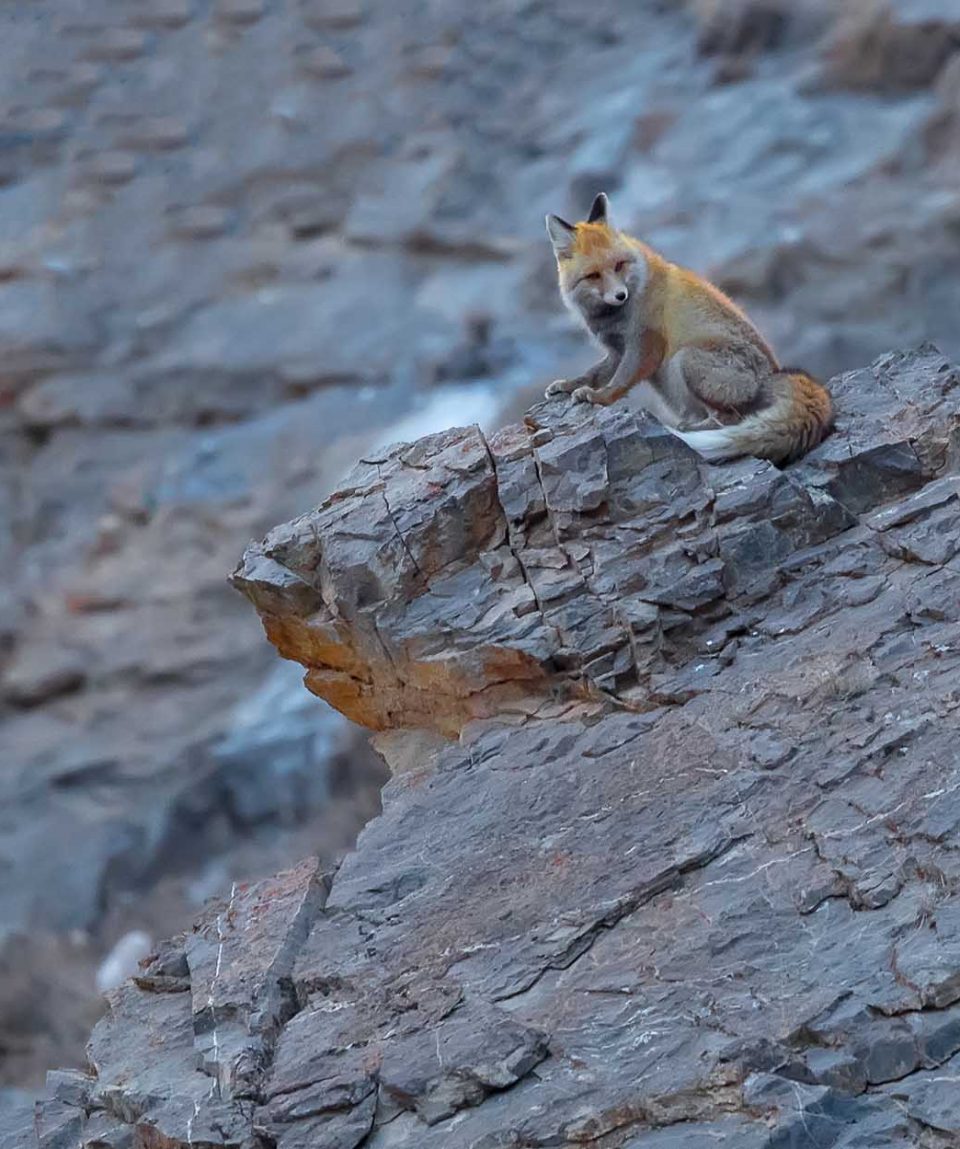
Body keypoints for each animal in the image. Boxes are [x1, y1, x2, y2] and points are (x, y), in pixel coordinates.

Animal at [546, 191, 831, 461]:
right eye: (593, 276)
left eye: (618, 265)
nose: (620, 295)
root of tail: (775, 373)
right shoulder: (617, 348)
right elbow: (594, 373)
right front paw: (569, 385)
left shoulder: (646, 343)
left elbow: (620, 381)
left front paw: (600, 397)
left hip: (686, 359)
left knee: (729, 419)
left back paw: (687, 429)